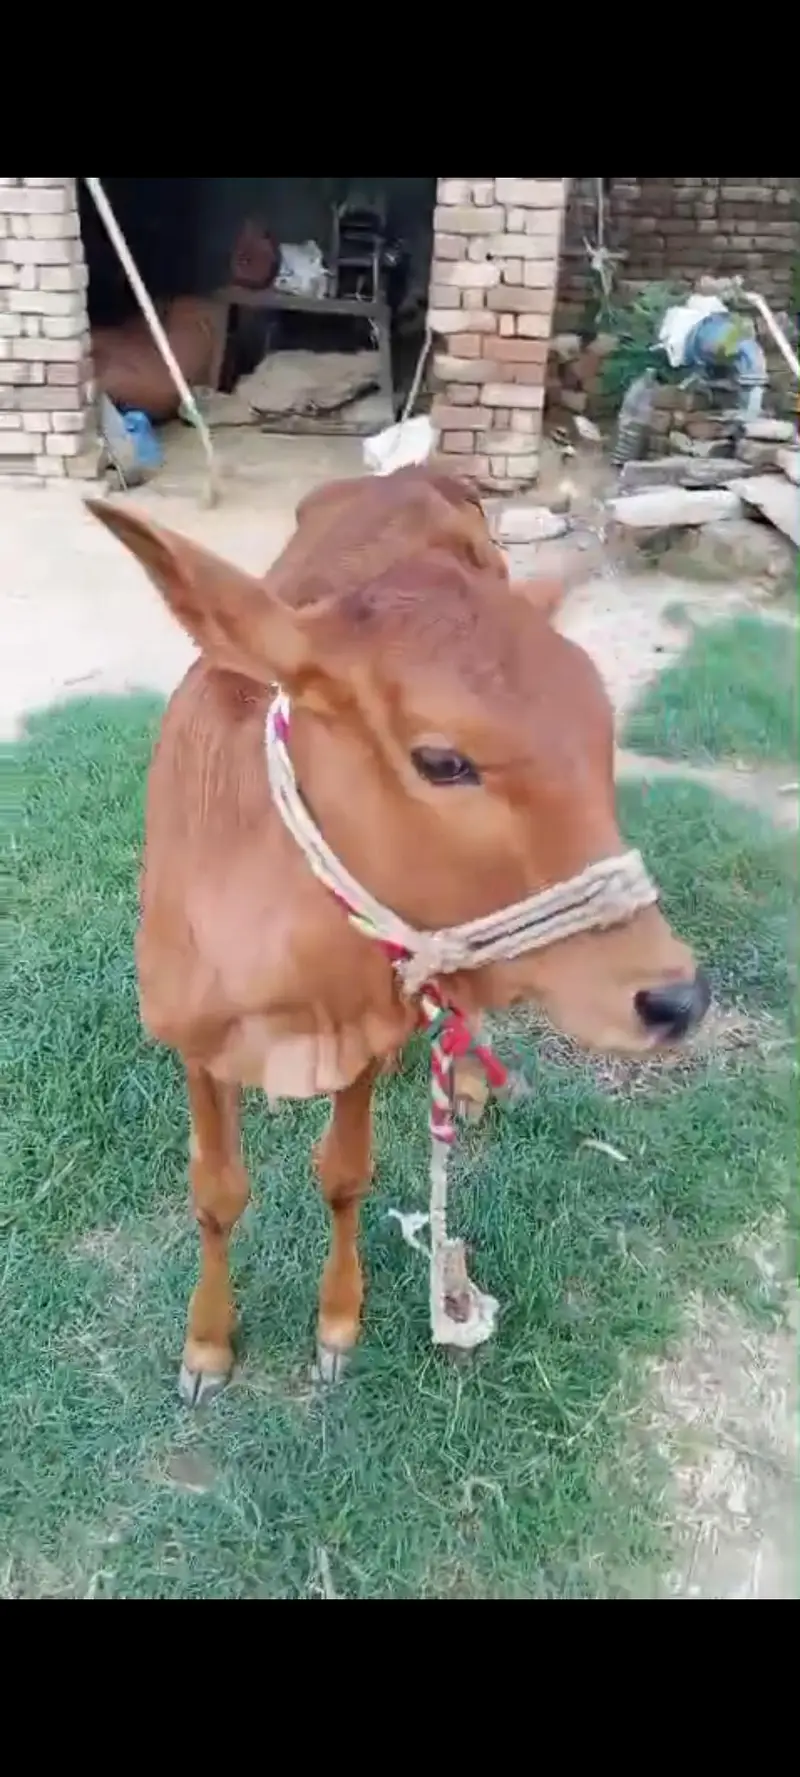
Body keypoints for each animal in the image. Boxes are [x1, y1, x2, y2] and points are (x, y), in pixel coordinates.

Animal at [87, 467, 709, 1401]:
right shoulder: (189, 1037)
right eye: (442, 761)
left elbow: (344, 1175)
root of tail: (415, 472)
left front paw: (338, 1324)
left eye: (603, 739)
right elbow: (217, 1190)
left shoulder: (370, 1032)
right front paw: (207, 1345)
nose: (677, 994)